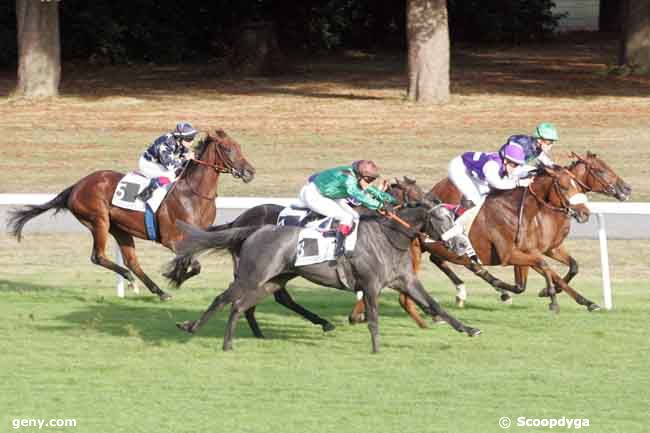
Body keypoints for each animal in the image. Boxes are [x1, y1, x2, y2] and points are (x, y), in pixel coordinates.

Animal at [8, 129, 256, 300]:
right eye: (228, 149)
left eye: (239, 146)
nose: (250, 172)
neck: (192, 194)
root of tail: (76, 186)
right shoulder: (172, 239)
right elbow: (193, 264)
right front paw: (174, 276)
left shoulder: (198, 235)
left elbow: (193, 264)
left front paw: (175, 276)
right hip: (99, 221)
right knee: (98, 256)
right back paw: (128, 278)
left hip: (120, 228)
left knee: (132, 261)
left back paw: (156, 290)